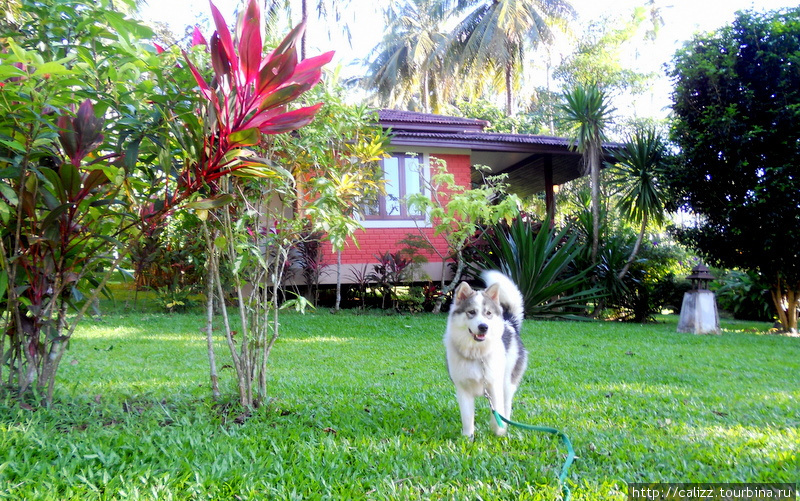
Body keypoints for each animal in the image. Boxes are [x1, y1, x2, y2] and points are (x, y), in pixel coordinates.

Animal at [440, 268, 528, 436]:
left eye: (488, 313)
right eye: (471, 312)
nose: (483, 327)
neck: (476, 354)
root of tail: (509, 323)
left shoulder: (494, 386)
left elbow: (497, 412)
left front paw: (499, 431)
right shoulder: (463, 390)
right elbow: (468, 418)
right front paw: (467, 437)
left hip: (507, 382)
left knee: (506, 405)